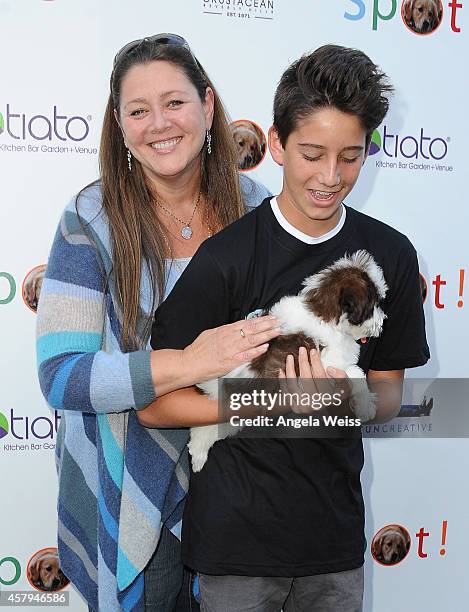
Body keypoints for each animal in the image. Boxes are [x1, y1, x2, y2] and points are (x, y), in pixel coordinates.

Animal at [190, 251, 388, 470]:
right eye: (374, 305)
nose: (384, 320)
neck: (323, 313)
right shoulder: (320, 364)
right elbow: (355, 372)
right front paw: (366, 405)